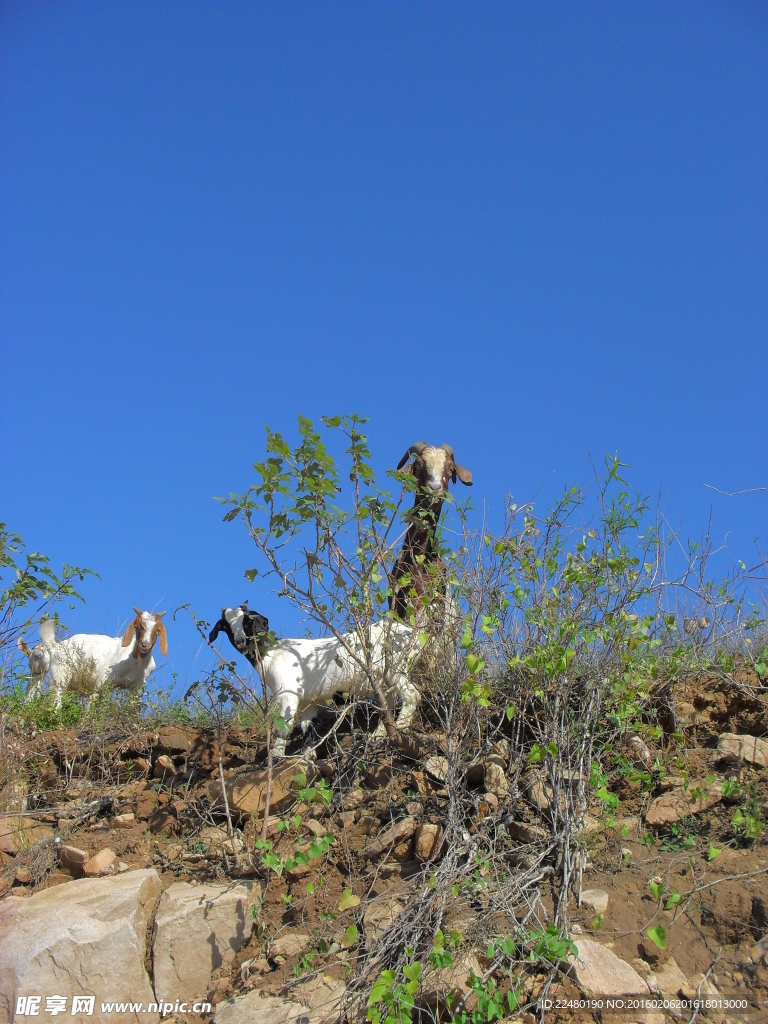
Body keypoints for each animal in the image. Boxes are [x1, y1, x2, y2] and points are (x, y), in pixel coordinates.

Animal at [37, 602, 167, 708]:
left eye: (157, 630)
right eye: (137, 626)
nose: (145, 645)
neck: (135, 661)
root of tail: (56, 646)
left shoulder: (137, 688)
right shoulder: (101, 681)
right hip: (60, 674)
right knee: (56, 699)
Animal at [208, 602, 421, 757]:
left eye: (246, 621)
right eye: (226, 626)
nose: (240, 642)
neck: (272, 653)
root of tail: (414, 633)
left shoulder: (289, 693)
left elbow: (283, 725)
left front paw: (276, 755)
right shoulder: (306, 702)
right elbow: (307, 728)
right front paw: (307, 755)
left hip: (396, 667)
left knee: (412, 695)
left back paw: (400, 728)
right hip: (385, 680)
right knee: (389, 702)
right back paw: (379, 734)